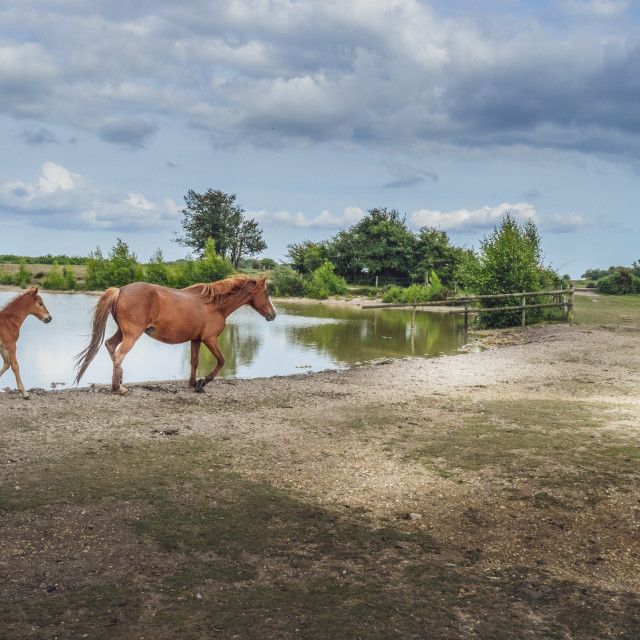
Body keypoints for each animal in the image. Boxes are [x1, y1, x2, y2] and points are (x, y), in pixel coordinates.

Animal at [74, 276, 276, 396]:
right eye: (266, 293)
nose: (273, 314)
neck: (214, 305)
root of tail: (120, 290)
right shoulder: (209, 339)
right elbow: (221, 361)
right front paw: (203, 382)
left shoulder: (196, 339)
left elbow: (194, 362)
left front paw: (193, 383)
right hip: (132, 334)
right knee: (119, 354)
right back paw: (119, 388)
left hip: (122, 332)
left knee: (110, 346)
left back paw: (120, 380)